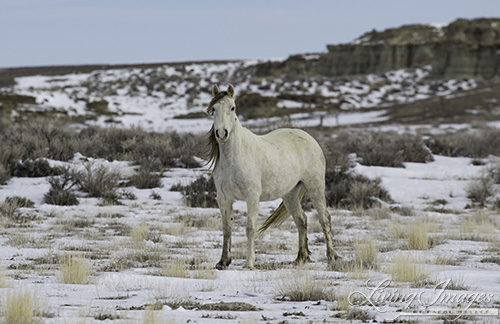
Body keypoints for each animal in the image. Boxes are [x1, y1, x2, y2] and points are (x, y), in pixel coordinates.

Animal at [205, 83, 338, 268]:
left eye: (232, 108)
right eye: (213, 109)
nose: (222, 133)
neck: (233, 156)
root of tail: (309, 138)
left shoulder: (252, 197)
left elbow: (250, 228)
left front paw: (249, 263)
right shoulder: (224, 198)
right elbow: (226, 229)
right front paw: (223, 261)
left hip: (315, 186)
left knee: (324, 219)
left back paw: (331, 256)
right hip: (290, 194)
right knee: (301, 220)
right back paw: (300, 258)